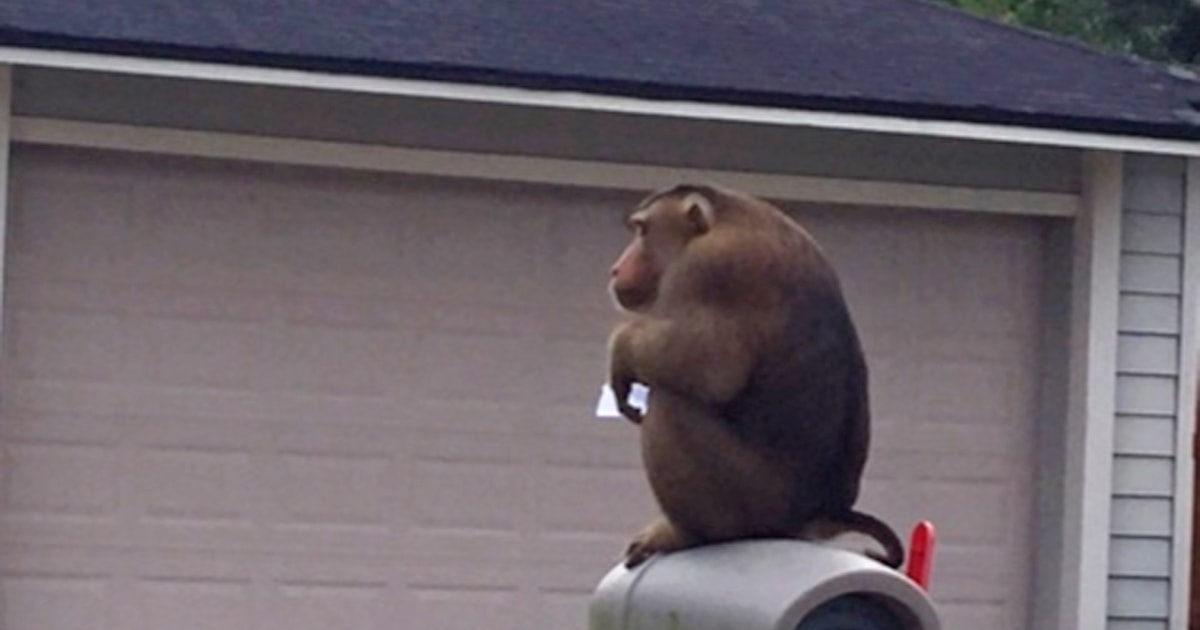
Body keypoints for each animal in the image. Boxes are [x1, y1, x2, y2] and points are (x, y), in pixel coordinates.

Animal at [607, 183, 904, 569]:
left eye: (642, 230)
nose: (616, 269)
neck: (724, 217)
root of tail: (826, 514)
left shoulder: (710, 267)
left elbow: (709, 366)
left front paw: (621, 351)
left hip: (757, 506)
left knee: (672, 402)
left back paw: (688, 534)